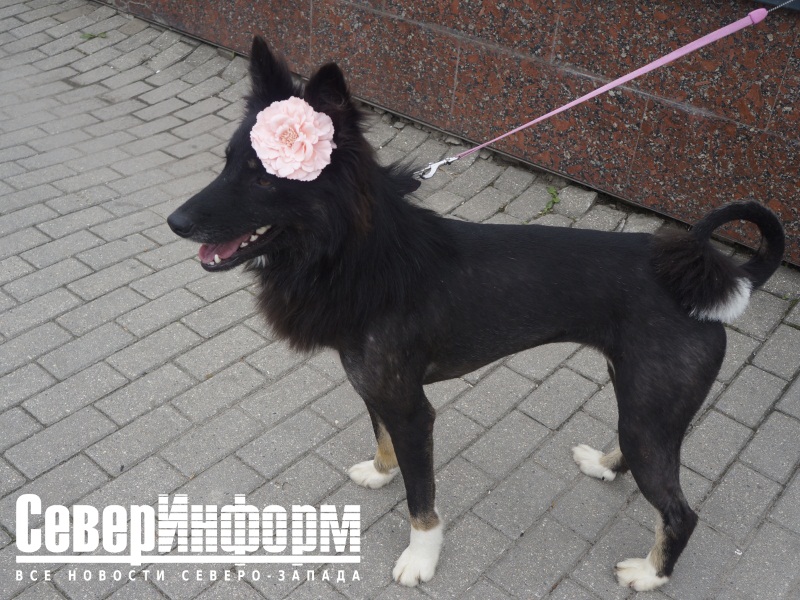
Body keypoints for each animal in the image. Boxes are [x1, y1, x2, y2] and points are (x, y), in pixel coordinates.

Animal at [167, 37, 785, 591]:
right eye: (227, 163)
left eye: (264, 177)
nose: (175, 222)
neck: (363, 254)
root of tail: (723, 277)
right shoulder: (376, 389)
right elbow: (382, 438)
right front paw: (381, 470)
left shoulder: (413, 410)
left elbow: (421, 498)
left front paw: (421, 557)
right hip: (636, 398)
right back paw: (604, 466)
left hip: (648, 414)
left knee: (680, 512)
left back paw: (651, 574)